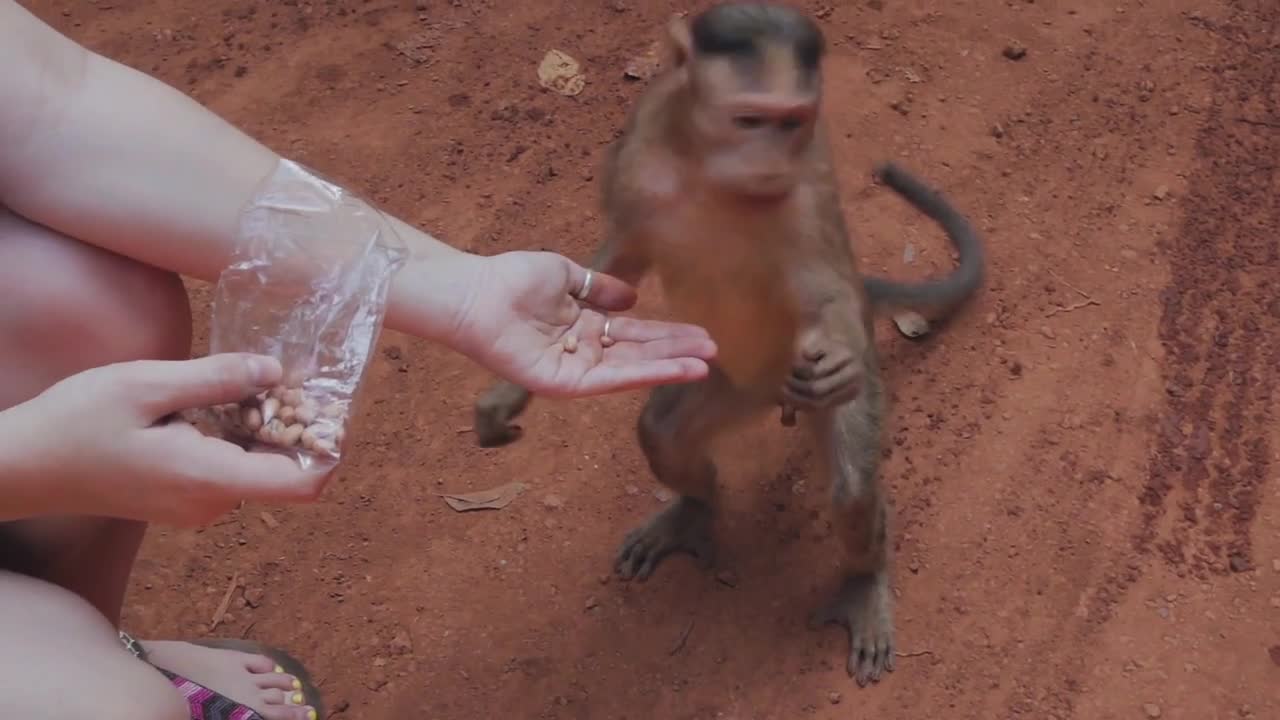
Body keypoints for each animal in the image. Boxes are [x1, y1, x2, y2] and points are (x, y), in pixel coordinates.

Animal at [476, 1, 983, 681]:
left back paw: (864, 580)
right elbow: (622, 258)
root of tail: (772, 398)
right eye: (748, 120)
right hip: (730, 381)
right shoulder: (639, 146)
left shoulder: (808, 175)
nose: (768, 160)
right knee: (662, 431)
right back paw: (694, 511)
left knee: (852, 489)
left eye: (790, 122)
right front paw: (516, 380)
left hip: (817, 380)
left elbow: (823, 292)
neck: (706, 167)